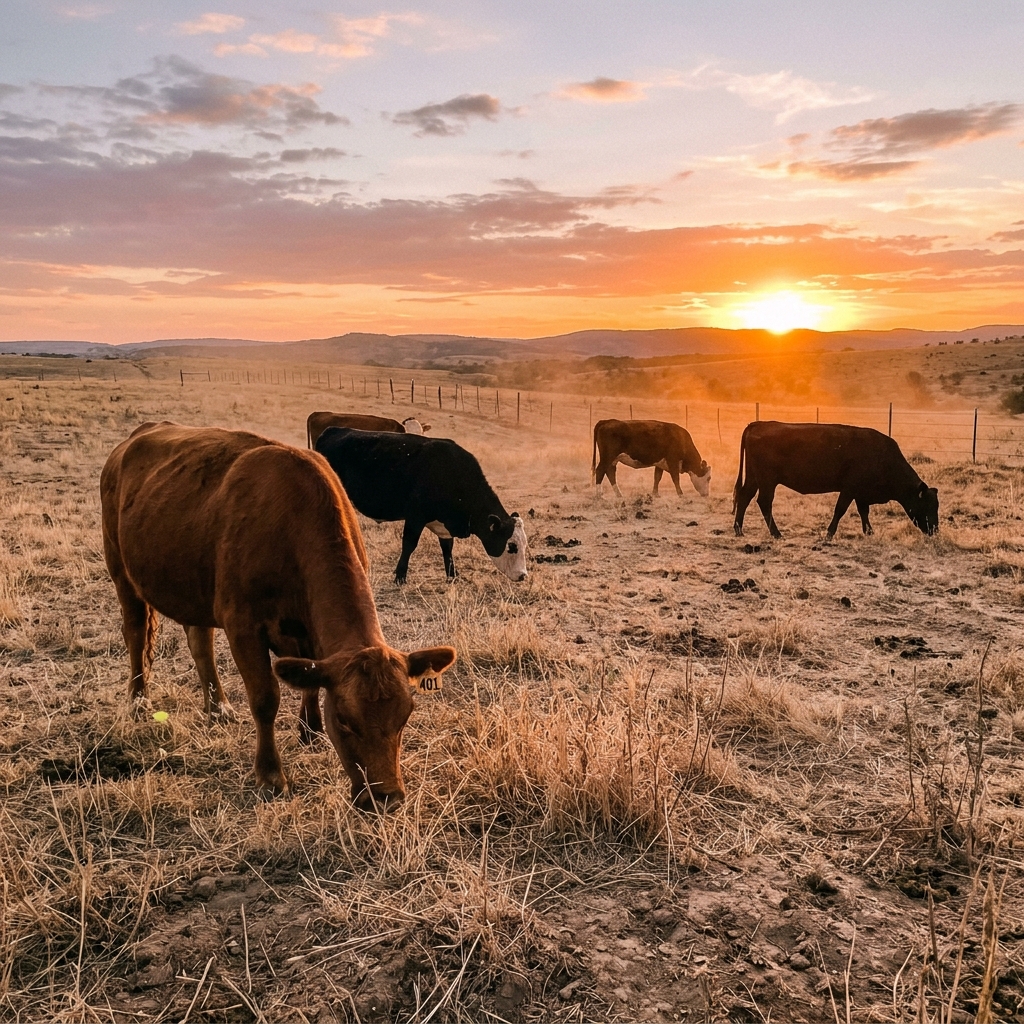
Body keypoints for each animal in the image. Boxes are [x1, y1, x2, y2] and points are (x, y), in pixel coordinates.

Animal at [100, 422, 456, 809]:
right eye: (345, 720)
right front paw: (271, 776)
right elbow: (265, 698)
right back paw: (138, 702)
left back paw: (219, 708)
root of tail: (140, 434)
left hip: (193, 584)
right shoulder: (242, 626)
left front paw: (310, 731)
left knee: (199, 642)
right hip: (121, 570)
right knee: (136, 634)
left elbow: (311, 679)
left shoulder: (307, 635)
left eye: (405, 716)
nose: (386, 797)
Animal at [315, 427, 529, 584]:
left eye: (525, 544)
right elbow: (409, 544)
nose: (523, 576)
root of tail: (333, 430)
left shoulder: (444, 525)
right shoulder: (415, 517)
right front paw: (400, 576)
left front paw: (452, 575)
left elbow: (447, 548)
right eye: (511, 546)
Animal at [732, 421, 940, 540]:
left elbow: (863, 511)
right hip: (767, 481)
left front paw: (869, 531)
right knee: (764, 502)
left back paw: (739, 530)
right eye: (928, 506)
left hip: (754, 478)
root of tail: (758, 424)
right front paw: (829, 534)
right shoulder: (849, 489)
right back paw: (776, 534)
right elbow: (840, 510)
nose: (935, 530)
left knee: (744, 497)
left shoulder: (860, 492)